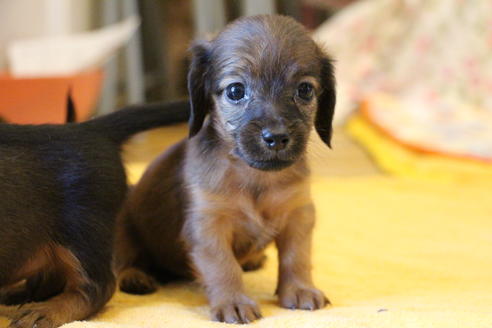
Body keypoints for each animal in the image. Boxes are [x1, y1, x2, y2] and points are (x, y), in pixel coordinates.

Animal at [115, 14, 336, 324]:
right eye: (235, 91)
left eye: (305, 90)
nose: (276, 137)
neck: (255, 177)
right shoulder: (209, 225)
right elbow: (223, 266)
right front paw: (233, 301)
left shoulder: (298, 214)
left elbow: (297, 256)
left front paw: (300, 289)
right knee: (124, 258)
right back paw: (134, 276)